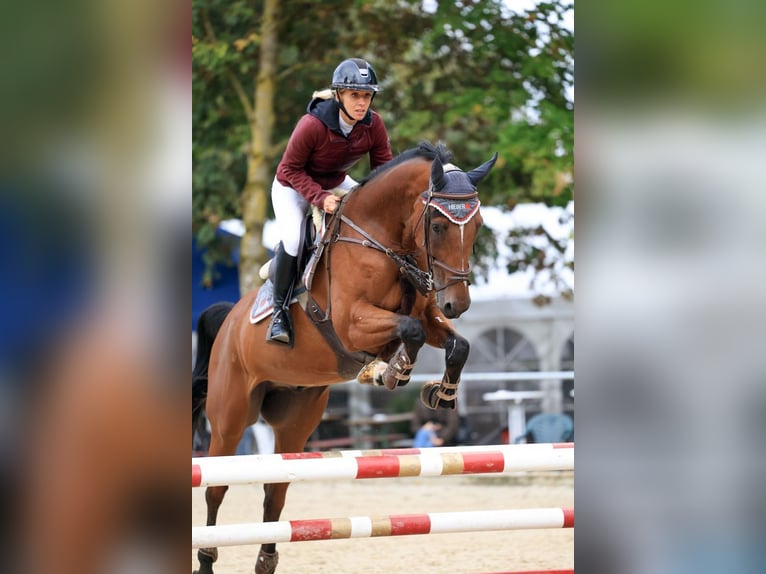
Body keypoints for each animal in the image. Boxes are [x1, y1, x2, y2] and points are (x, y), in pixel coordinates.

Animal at [194, 141, 498, 574]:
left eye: (477, 225)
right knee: (216, 487)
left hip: (296, 421)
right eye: (438, 226)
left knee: (275, 489)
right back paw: (207, 560)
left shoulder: (427, 314)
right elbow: (410, 331)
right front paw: (391, 371)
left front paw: (439, 394)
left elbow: (457, 344)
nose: (458, 304)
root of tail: (228, 321)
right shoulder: (352, 323)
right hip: (229, 417)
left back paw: (267, 559)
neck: (385, 242)